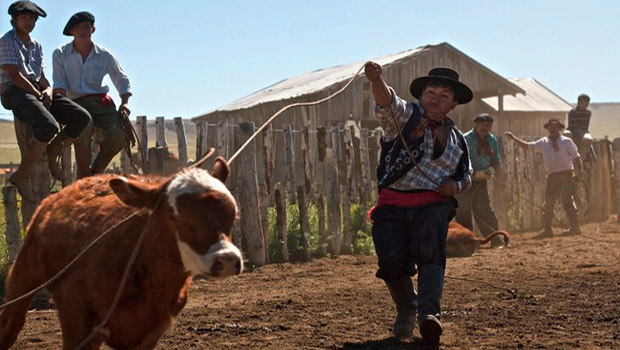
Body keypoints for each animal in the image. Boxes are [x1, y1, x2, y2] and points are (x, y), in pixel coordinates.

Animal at [0, 157, 242, 348]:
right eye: (175, 216)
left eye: (232, 215)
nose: (228, 260)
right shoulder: (75, 316)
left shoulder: (149, 332)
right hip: (24, 272)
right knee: (12, 320)